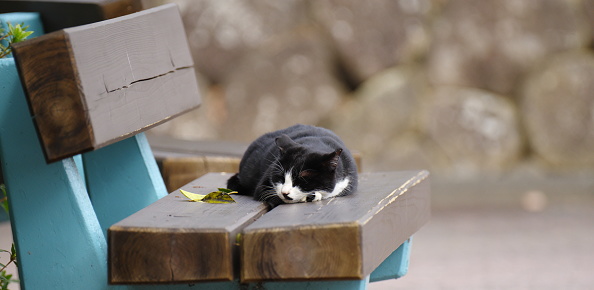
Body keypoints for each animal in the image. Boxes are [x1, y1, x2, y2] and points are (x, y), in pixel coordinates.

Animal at [227, 123, 356, 207]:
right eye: (280, 177)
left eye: (303, 179)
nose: (284, 192)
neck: (314, 143)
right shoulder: (264, 185)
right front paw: (310, 196)